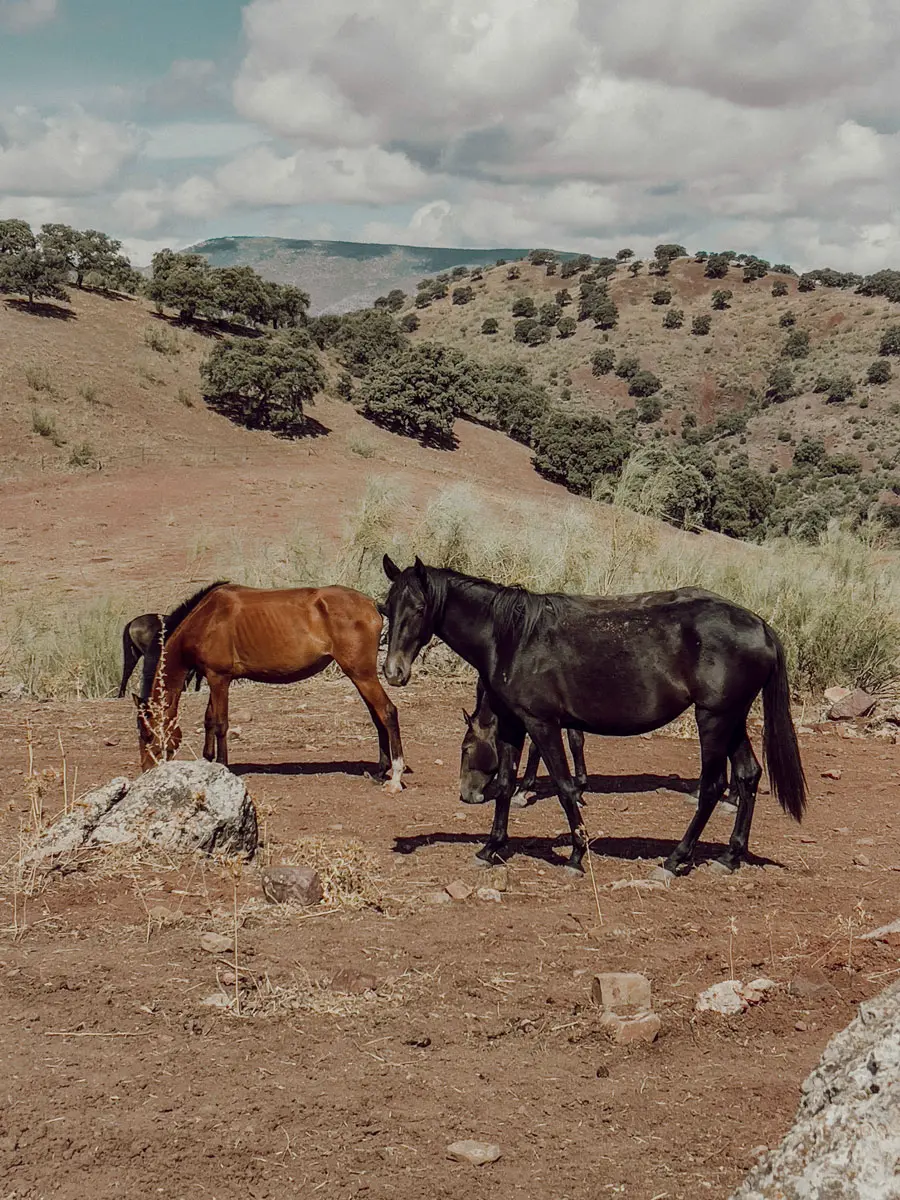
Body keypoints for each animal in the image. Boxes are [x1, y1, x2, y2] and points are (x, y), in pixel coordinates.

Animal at [133, 578, 405, 787]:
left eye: (147, 734)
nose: (147, 770)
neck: (206, 619)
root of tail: (371, 604)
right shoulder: (214, 679)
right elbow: (209, 720)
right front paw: (208, 761)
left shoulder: (219, 679)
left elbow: (220, 723)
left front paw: (222, 765)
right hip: (360, 677)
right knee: (378, 716)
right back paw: (381, 770)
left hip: (362, 675)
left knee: (388, 712)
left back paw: (395, 774)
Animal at [381, 556, 811, 878]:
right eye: (386, 607)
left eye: (419, 608)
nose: (393, 672)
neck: (512, 638)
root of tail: (761, 627)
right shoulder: (513, 724)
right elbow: (504, 784)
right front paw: (491, 848)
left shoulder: (541, 723)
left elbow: (564, 785)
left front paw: (575, 855)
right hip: (732, 719)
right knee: (748, 776)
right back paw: (729, 857)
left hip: (714, 719)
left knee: (713, 786)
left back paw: (674, 860)